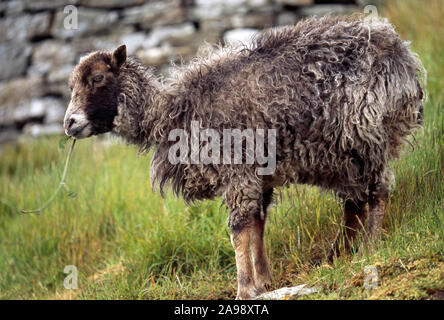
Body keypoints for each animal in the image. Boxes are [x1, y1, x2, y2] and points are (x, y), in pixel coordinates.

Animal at [63, 16, 426, 298]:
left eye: (97, 78)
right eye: (71, 85)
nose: (69, 123)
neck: (172, 112)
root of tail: (402, 55)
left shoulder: (237, 172)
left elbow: (239, 229)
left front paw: (244, 289)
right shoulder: (257, 177)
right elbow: (258, 224)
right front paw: (264, 280)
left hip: (366, 134)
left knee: (377, 191)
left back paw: (370, 248)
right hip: (344, 153)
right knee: (354, 201)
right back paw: (338, 256)